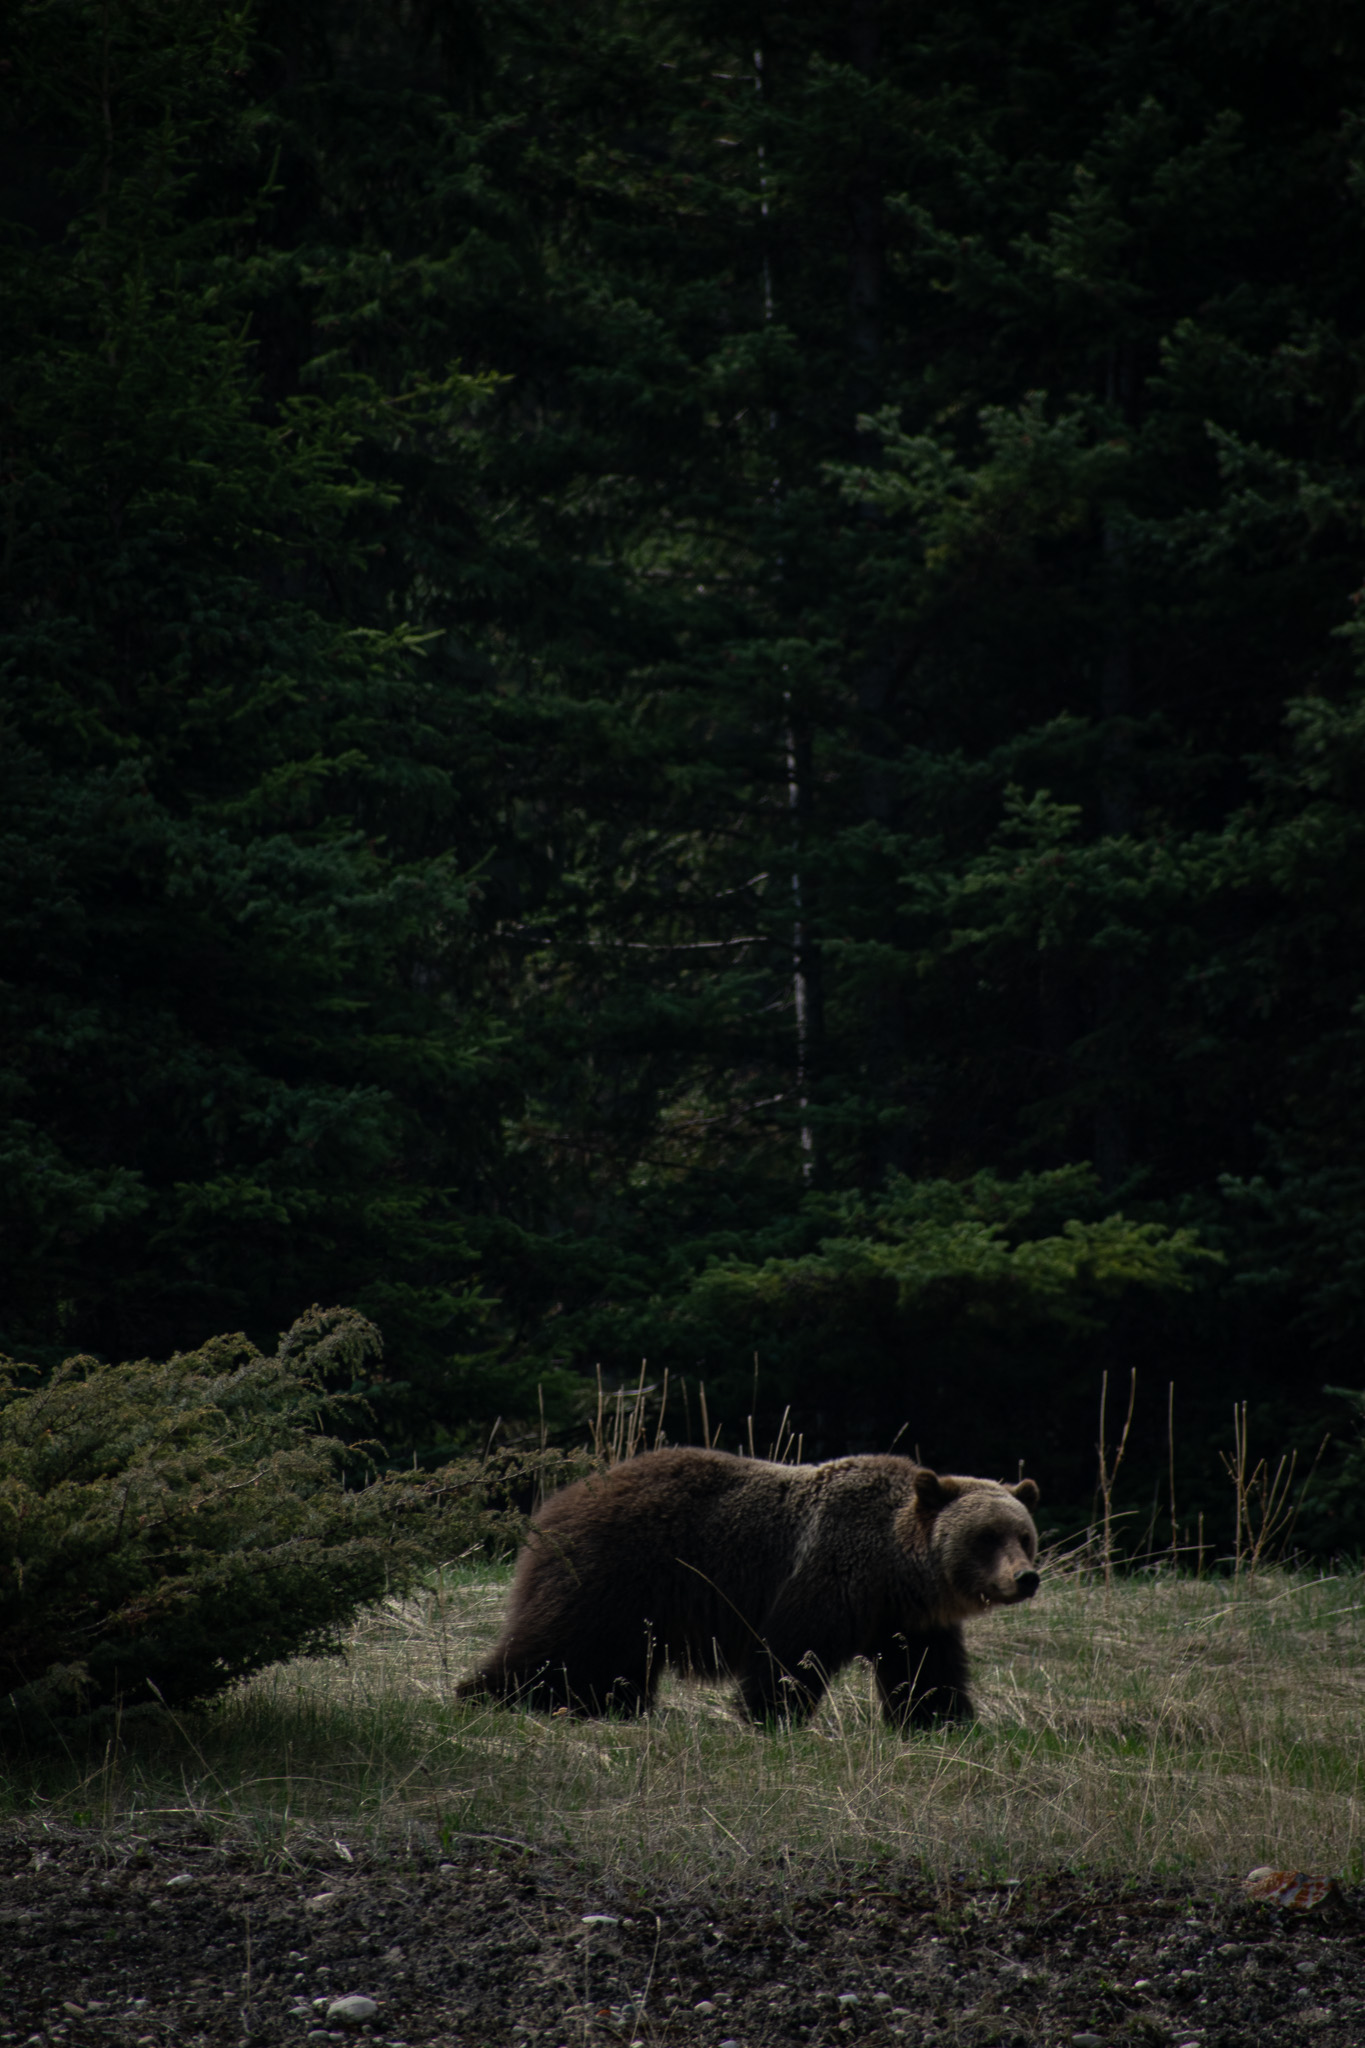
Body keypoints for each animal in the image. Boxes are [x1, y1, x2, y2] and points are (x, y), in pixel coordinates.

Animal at [458, 1447, 1039, 1728]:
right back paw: (484, 1693)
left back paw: (610, 1707)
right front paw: (771, 1714)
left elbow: (927, 1673)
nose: (1025, 1577)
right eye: (987, 1536)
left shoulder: (910, 1620)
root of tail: (559, 1501)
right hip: (614, 1570)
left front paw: (942, 1720)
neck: (897, 1569)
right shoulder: (830, 1573)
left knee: (615, 1662)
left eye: (1025, 1535)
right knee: (557, 1644)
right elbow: (792, 1651)